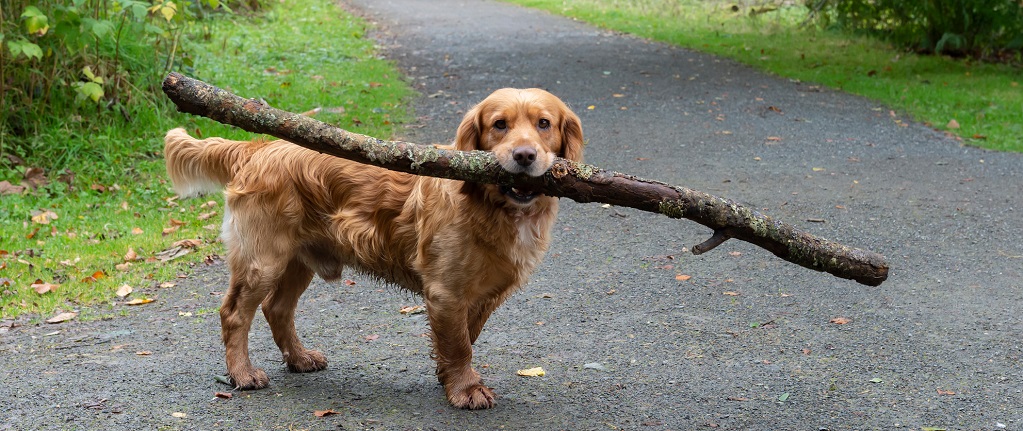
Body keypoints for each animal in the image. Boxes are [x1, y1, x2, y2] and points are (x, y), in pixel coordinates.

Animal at [165, 86, 585, 407]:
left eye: (544, 123)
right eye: (500, 125)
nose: (525, 156)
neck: (494, 208)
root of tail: (259, 148)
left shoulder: (481, 296)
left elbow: (466, 336)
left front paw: (447, 377)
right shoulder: (445, 291)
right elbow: (461, 345)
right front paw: (466, 389)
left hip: (297, 262)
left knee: (277, 309)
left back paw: (299, 358)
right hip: (262, 261)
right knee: (235, 313)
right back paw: (242, 373)